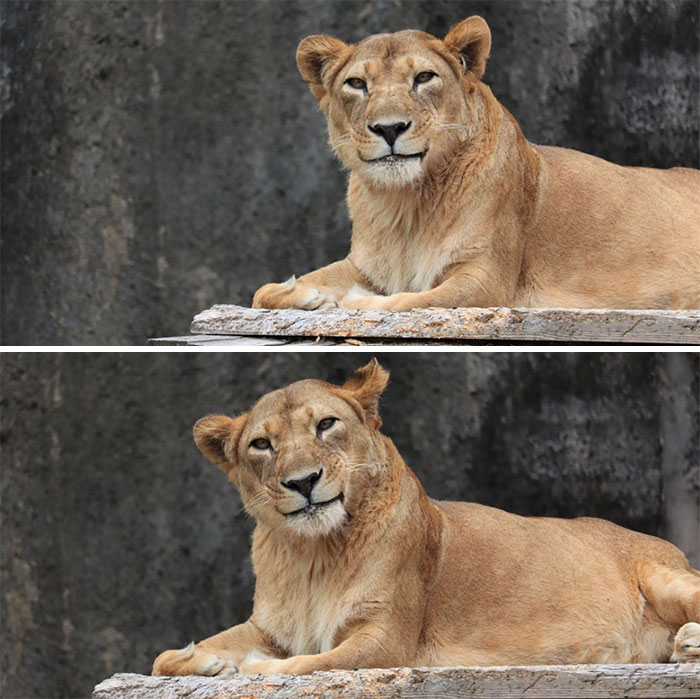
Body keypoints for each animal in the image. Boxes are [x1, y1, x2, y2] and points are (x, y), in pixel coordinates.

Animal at [153, 360, 700, 676]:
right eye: (262, 445)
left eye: (327, 424)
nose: (303, 481)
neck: (314, 554)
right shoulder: (270, 629)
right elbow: (165, 660)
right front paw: (196, 659)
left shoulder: (387, 639)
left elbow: (308, 664)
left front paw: (252, 670)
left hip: (665, 577)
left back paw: (689, 641)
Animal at [252, 16, 700, 313]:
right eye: (357, 84)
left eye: (424, 78)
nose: (389, 128)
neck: (406, 203)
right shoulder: (364, 265)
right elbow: (260, 293)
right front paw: (302, 293)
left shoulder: (486, 279)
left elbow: (404, 302)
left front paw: (353, 302)